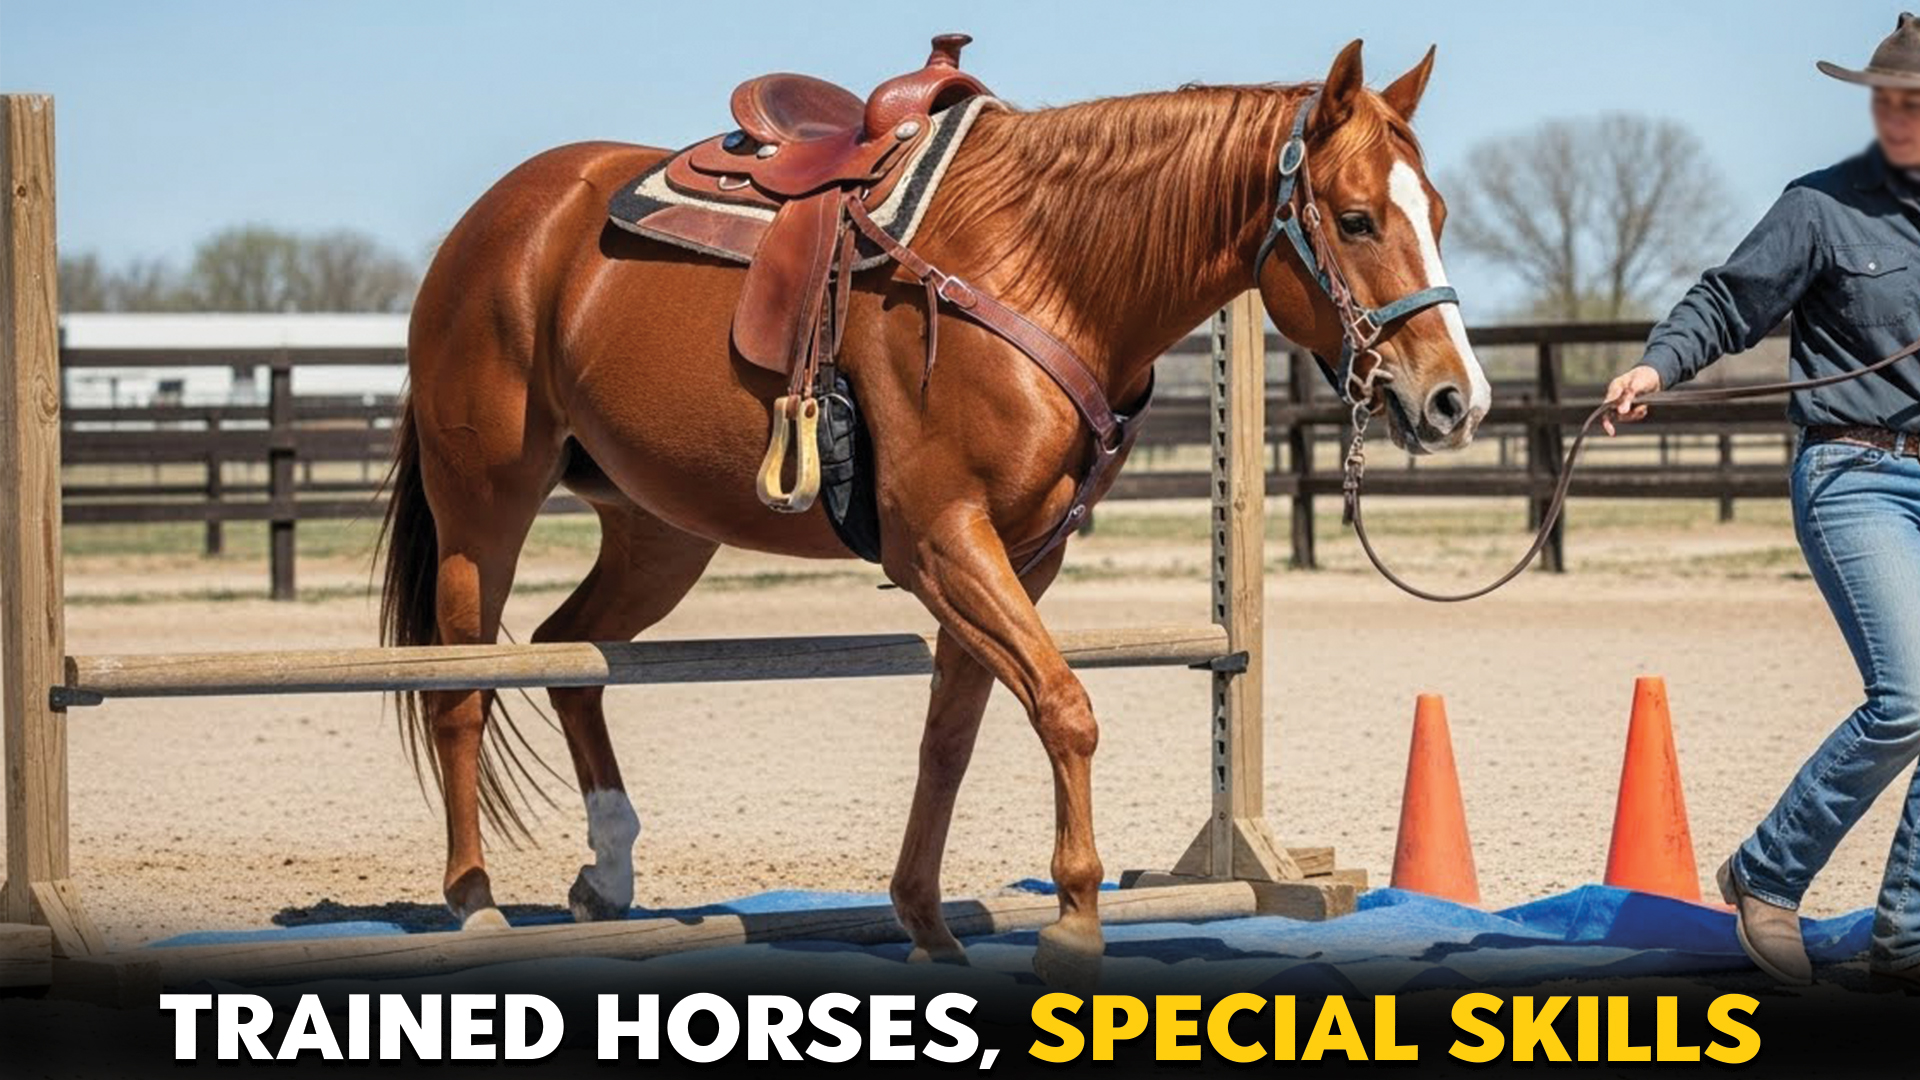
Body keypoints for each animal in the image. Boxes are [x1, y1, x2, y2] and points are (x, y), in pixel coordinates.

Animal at [379, 38, 1489, 984]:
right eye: (1356, 218)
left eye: (1435, 211)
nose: (1455, 399)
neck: (1044, 264)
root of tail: (498, 220)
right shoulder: (943, 540)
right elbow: (1065, 708)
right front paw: (1075, 923)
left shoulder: (1018, 554)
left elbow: (952, 734)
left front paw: (925, 919)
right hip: (484, 505)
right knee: (462, 688)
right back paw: (476, 903)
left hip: (660, 532)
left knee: (569, 655)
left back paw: (607, 872)